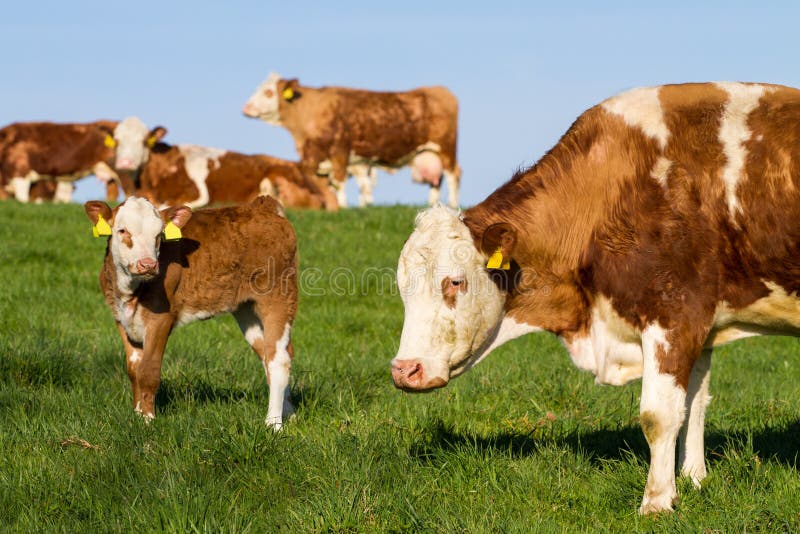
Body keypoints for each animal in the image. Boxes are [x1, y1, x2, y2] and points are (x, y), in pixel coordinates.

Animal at [85, 195, 296, 430]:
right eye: (122, 230)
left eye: (158, 235)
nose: (148, 264)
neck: (131, 291)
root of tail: (262, 206)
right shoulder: (122, 319)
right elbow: (133, 370)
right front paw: (137, 415)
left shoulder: (161, 319)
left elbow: (148, 371)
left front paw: (147, 420)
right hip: (246, 309)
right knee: (272, 354)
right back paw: (289, 413)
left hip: (278, 295)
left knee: (279, 360)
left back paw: (273, 424)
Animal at [241, 73, 460, 209]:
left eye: (268, 92)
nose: (246, 108)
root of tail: (440, 89)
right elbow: (328, 186)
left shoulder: (340, 150)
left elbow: (339, 182)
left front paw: (343, 206)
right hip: (428, 153)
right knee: (436, 180)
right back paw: (433, 205)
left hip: (446, 147)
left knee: (453, 174)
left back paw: (453, 204)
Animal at [390, 82, 800, 516]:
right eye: (401, 288)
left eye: (455, 281)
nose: (404, 370)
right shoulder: (701, 324)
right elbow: (694, 404)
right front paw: (693, 480)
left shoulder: (674, 315)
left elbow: (659, 415)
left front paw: (656, 502)